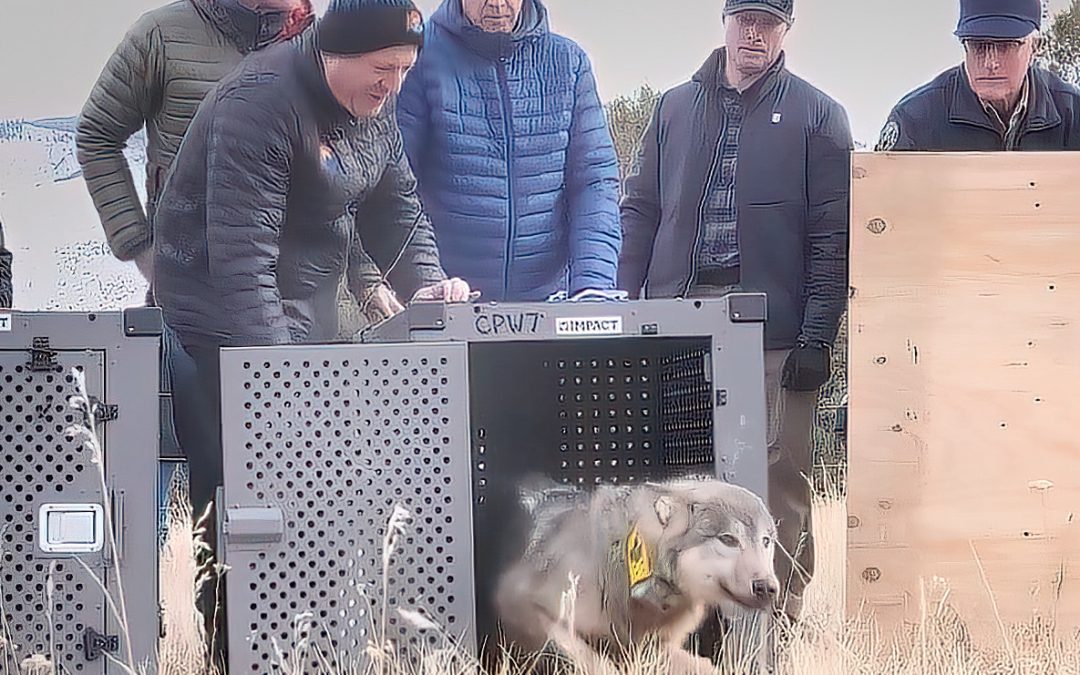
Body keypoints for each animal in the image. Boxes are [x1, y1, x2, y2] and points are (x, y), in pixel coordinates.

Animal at [493, 476, 779, 675]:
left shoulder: (649, 644)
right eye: (728, 539)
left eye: (766, 541)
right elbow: (590, 660)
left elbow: (700, 665)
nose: (766, 587)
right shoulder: (521, 603)